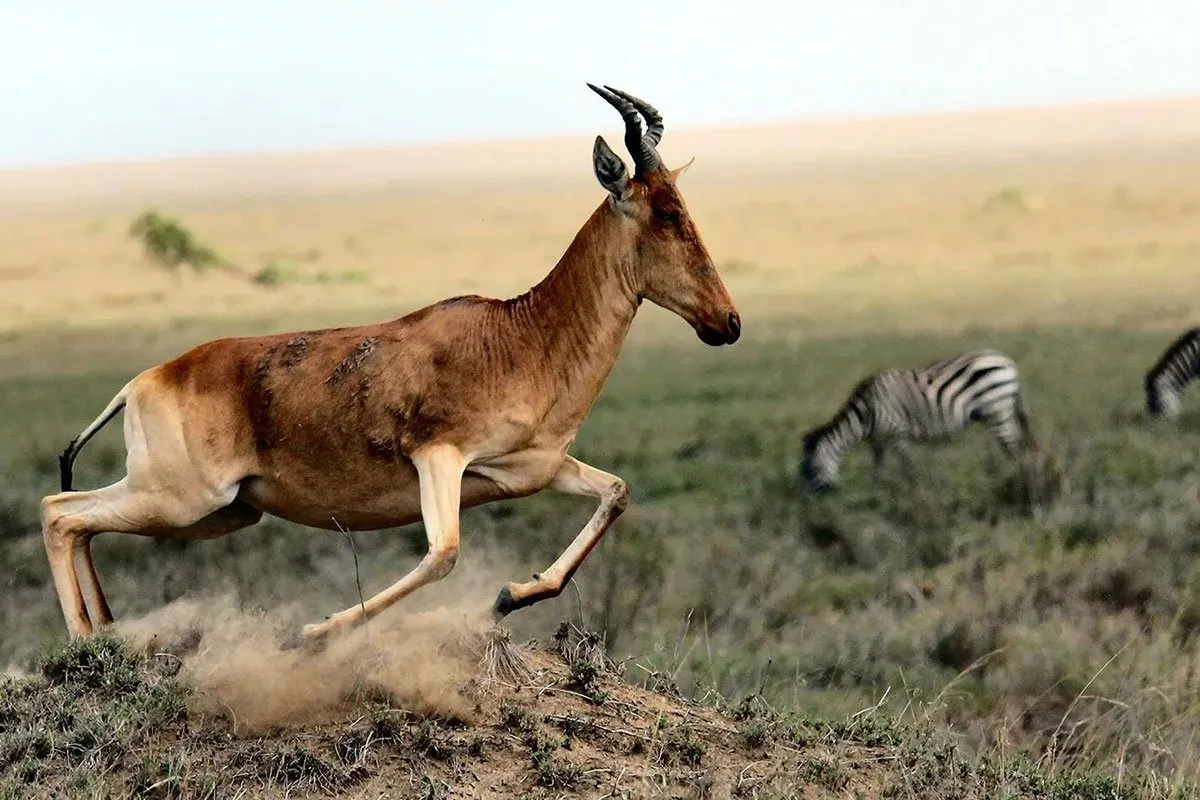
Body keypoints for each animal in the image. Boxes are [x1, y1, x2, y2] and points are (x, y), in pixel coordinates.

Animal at [41, 84, 742, 642]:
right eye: (666, 213)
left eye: (683, 206)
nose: (727, 323)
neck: (518, 334)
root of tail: (146, 380)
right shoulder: (439, 456)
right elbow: (444, 554)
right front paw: (315, 630)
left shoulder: (533, 469)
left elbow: (616, 493)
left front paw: (510, 596)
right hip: (182, 498)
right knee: (59, 511)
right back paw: (86, 645)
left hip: (223, 512)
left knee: (80, 522)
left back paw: (107, 633)